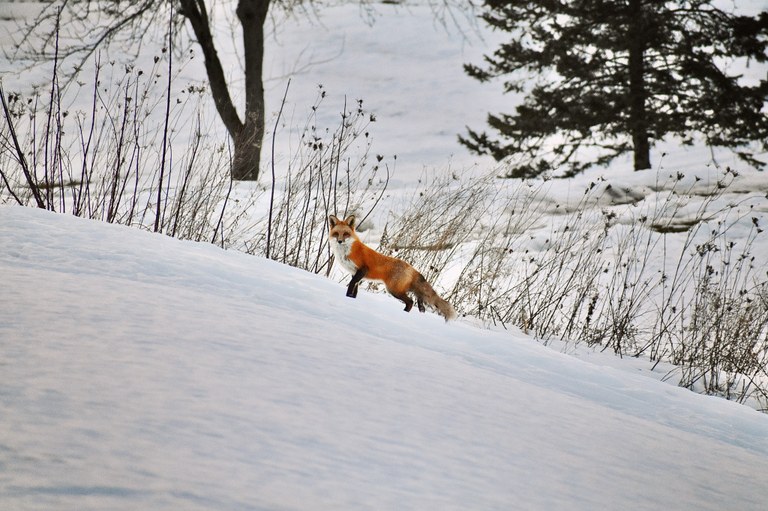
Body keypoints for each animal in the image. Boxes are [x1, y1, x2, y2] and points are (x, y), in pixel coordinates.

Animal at [326, 215, 456, 320]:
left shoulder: (363, 269)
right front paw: (351, 299)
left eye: (346, 234)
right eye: (337, 234)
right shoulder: (355, 273)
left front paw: (347, 298)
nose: (340, 241)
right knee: (418, 300)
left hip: (393, 290)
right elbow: (355, 290)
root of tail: (412, 268)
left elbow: (351, 285)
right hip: (400, 289)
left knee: (410, 302)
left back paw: (403, 314)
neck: (347, 251)